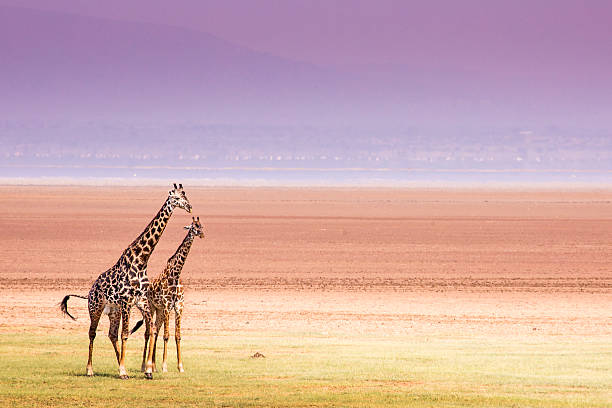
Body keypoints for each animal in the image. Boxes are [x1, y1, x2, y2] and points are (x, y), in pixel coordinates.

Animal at [59, 184, 194, 380]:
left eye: (185, 195)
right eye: (176, 198)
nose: (189, 207)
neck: (142, 259)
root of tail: (90, 291)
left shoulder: (142, 301)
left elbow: (150, 330)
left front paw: (147, 370)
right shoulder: (127, 302)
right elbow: (125, 334)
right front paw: (124, 371)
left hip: (113, 311)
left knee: (111, 334)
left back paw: (120, 365)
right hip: (96, 307)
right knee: (92, 333)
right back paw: (90, 369)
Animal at [133, 217, 204, 372]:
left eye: (201, 225)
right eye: (193, 226)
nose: (202, 234)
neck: (175, 274)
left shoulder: (178, 307)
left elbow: (177, 335)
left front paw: (180, 367)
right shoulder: (166, 305)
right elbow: (166, 335)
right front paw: (164, 366)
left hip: (159, 311)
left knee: (155, 331)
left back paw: (153, 366)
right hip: (152, 307)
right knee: (148, 332)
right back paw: (144, 366)